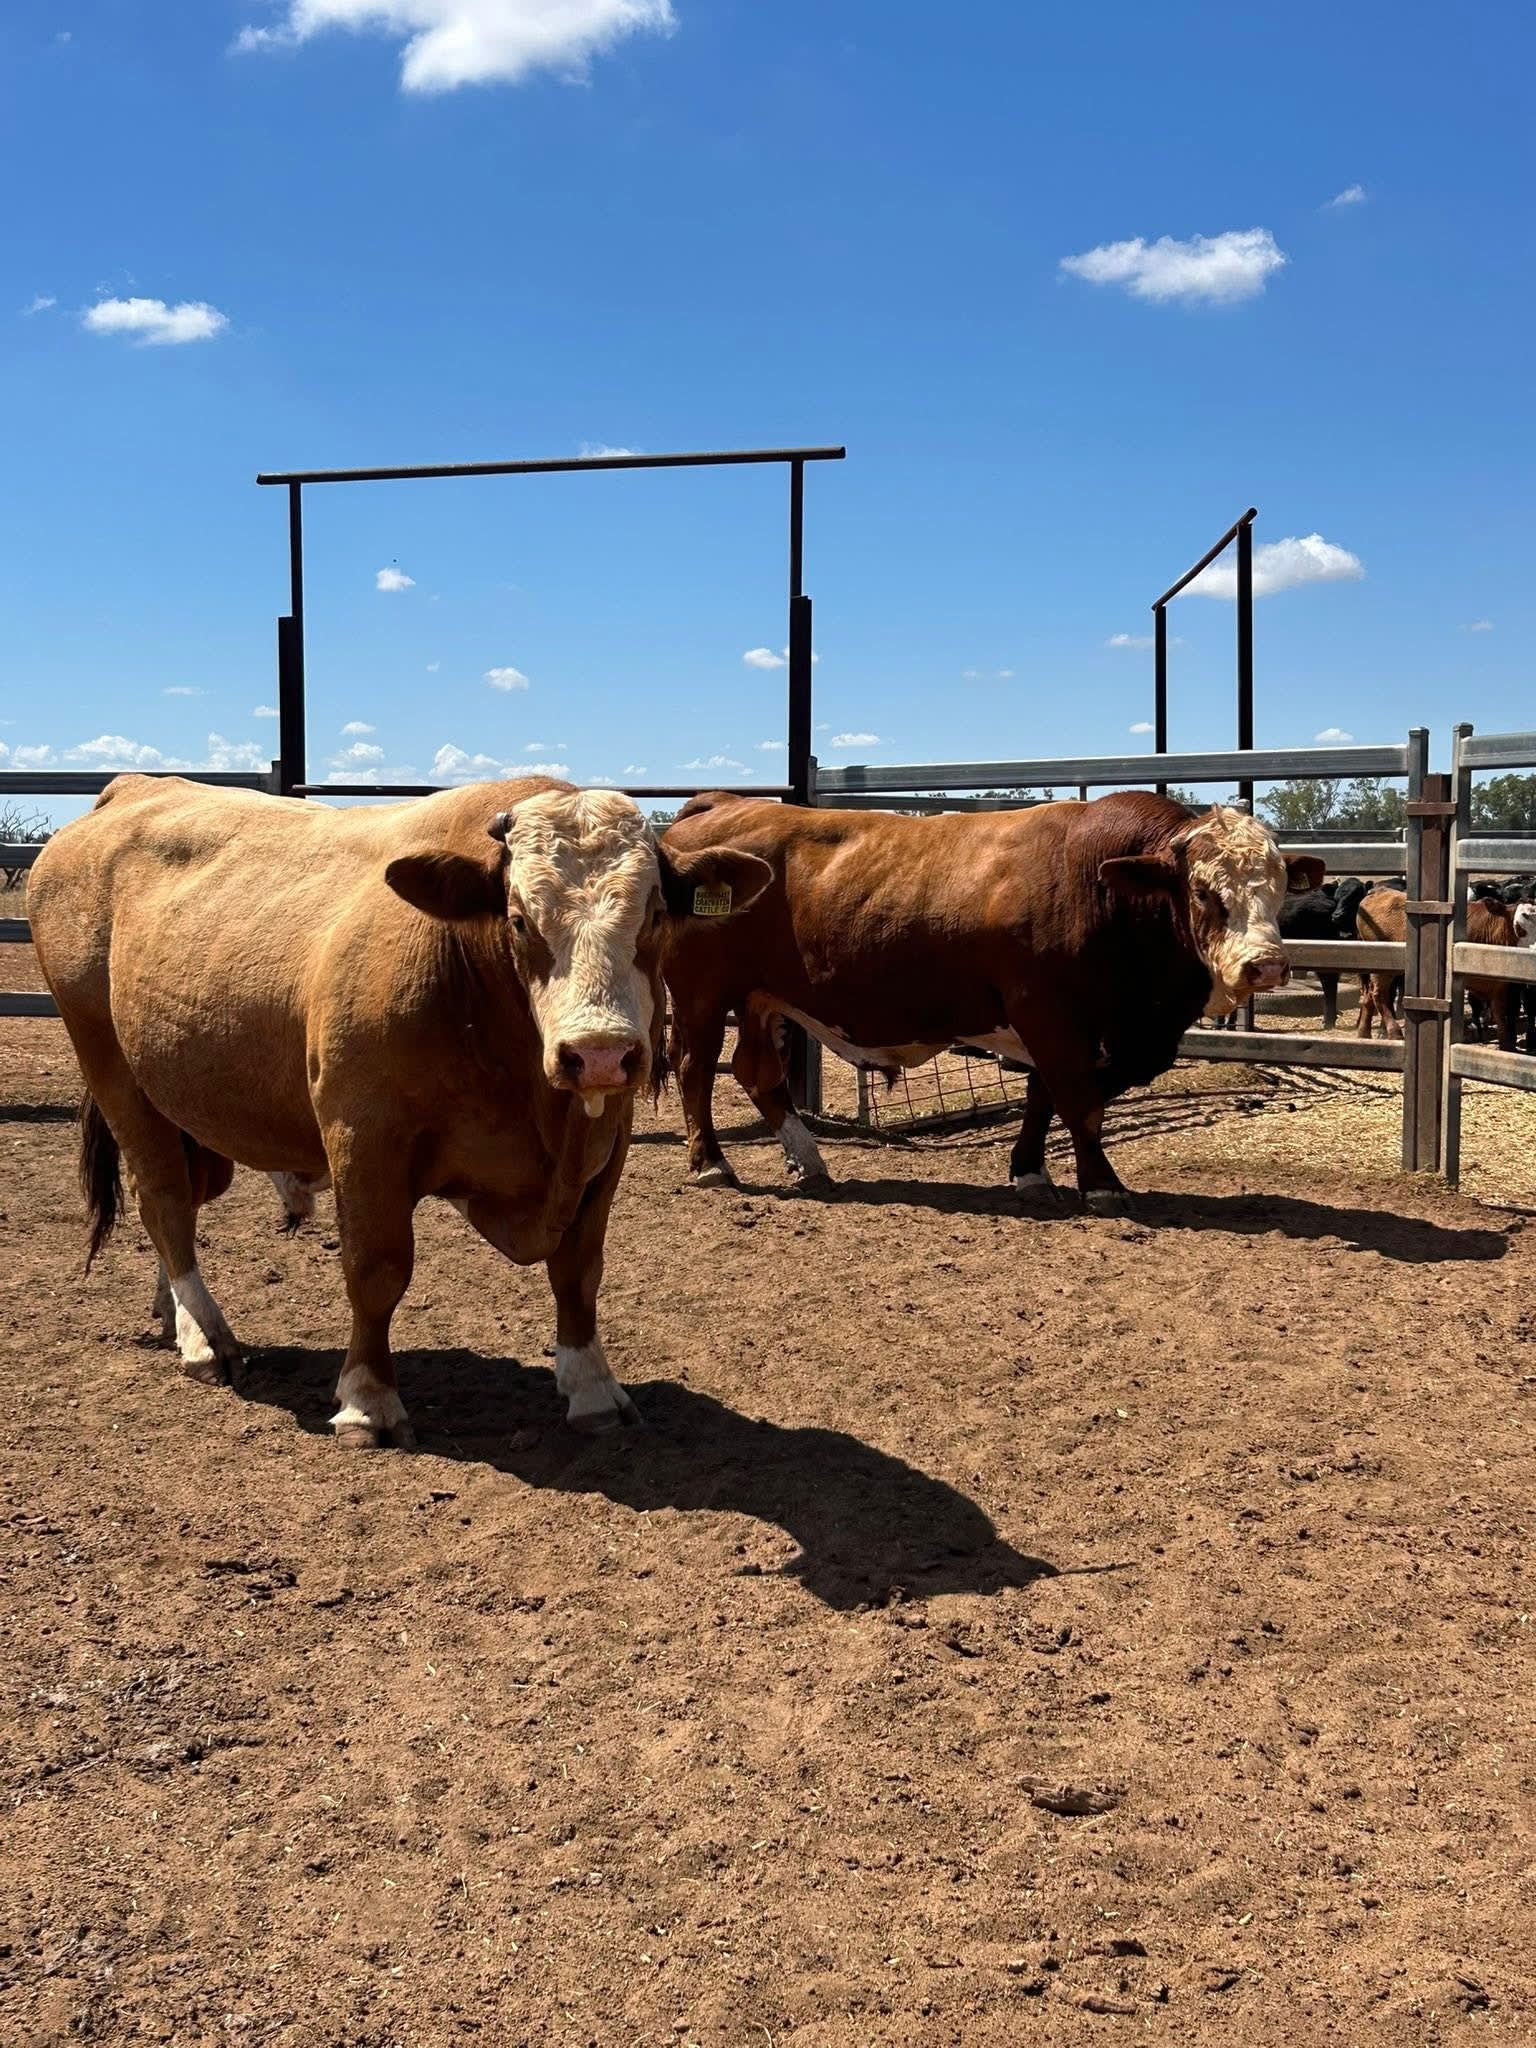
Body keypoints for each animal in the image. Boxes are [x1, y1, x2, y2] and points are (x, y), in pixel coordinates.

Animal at [27, 775, 768, 1447]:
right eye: (519, 920)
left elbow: (579, 1267)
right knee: (164, 1199)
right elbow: (376, 1269)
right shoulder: (365, 1139)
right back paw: (205, 1337)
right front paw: (367, 1401)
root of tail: (130, 788)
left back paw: (174, 1313)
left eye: (654, 915)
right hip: (111, 1065)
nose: (600, 1051)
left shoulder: (603, 1143)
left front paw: (590, 1385)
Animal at [661, 792, 1324, 1209]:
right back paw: (712, 1164)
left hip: (760, 997)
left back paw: (809, 1161)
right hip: (700, 993)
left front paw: (1029, 1171)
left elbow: (1045, 1097)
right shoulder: (1048, 1013)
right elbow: (1079, 1101)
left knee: (756, 1071)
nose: (1266, 965)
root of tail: (723, 803)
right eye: (1205, 892)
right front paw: (1102, 1184)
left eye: (1280, 887)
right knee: (696, 1068)